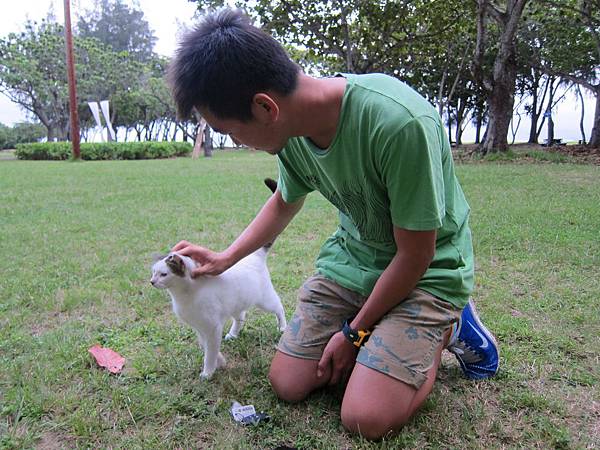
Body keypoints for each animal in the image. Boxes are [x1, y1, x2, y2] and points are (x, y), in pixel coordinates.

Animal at [154, 248, 288, 378]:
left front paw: (208, 372)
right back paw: (233, 334)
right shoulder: (199, 327)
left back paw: (282, 327)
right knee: (241, 317)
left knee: (279, 307)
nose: (152, 281)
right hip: (236, 304)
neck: (183, 295)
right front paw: (220, 362)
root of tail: (255, 255)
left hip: (265, 301)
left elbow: (210, 352)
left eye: (163, 274)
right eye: (153, 272)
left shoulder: (212, 327)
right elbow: (205, 345)